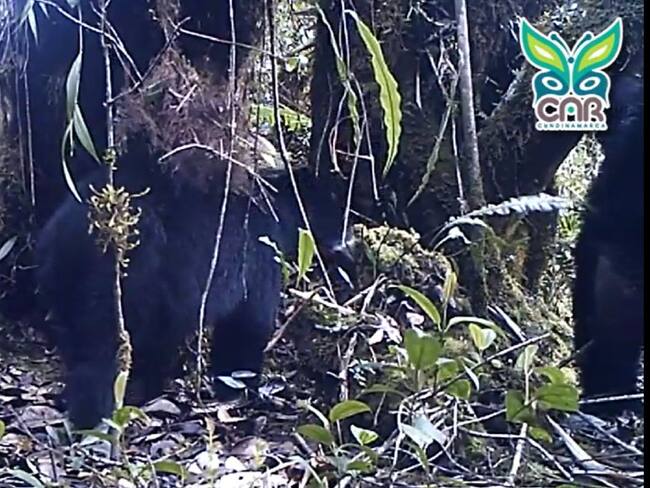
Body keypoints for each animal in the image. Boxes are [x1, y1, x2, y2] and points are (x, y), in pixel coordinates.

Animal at [35, 161, 355, 429]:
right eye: (339, 211)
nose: (351, 244)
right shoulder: (259, 253)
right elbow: (247, 325)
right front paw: (243, 388)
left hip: (64, 280)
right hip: (123, 279)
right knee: (103, 347)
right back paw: (95, 416)